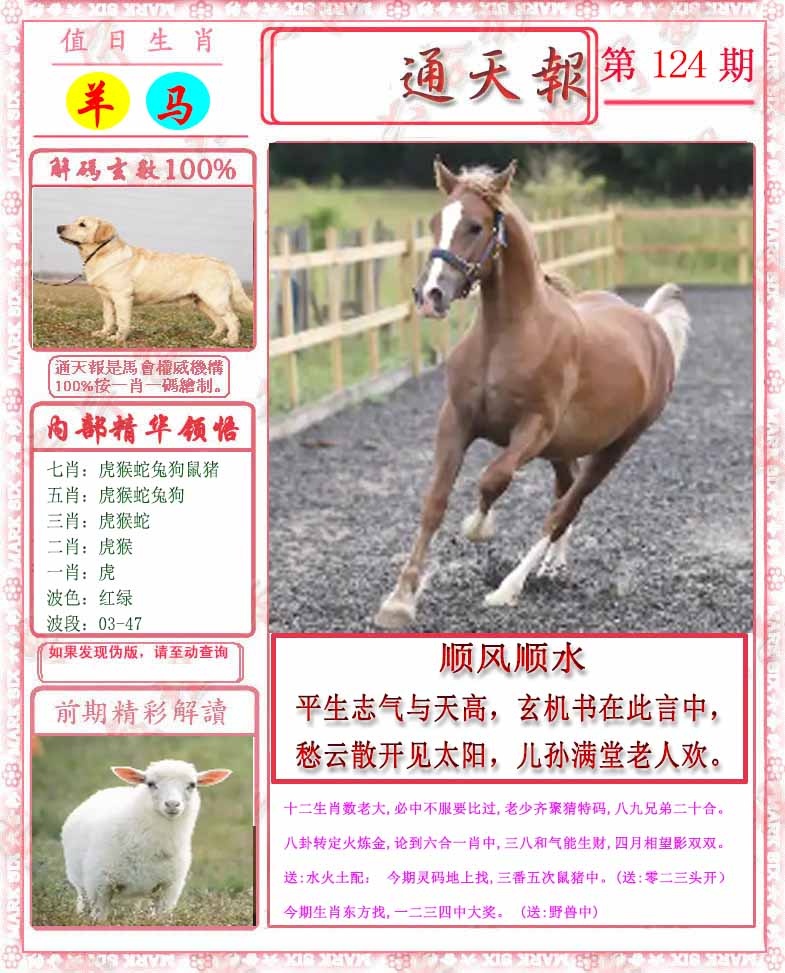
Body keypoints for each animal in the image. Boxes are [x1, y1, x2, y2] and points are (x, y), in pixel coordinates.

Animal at [375, 158, 690, 629]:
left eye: (475, 225)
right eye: (435, 222)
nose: (429, 295)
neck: (507, 336)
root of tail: (651, 324)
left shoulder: (532, 430)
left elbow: (493, 479)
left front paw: (477, 528)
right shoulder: (455, 420)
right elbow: (434, 502)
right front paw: (399, 600)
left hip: (614, 447)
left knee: (564, 509)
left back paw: (509, 587)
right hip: (564, 447)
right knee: (565, 492)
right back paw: (552, 566)